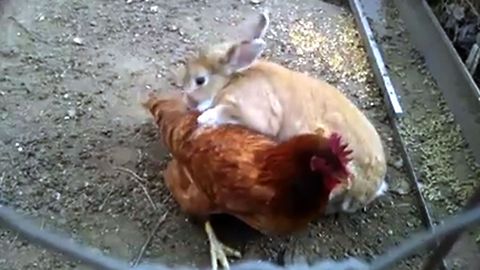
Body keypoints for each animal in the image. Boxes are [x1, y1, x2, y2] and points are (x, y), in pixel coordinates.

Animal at [178, 11, 388, 213]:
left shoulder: (251, 111)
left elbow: (225, 111)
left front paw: (205, 117)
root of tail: (371, 187)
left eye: (199, 80)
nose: (187, 100)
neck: (231, 79)